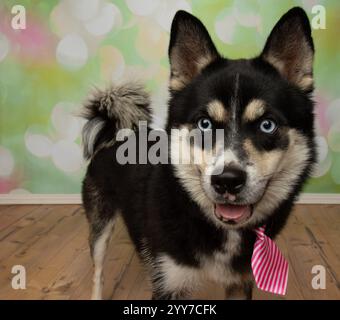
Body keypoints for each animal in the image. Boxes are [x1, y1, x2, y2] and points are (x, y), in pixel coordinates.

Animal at [81, 7, 316, 300]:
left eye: (267, 125)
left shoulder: (240, 281)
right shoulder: (170, 282)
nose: (227, 181)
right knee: (98, 272)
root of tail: (116, 135)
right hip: (100, 225)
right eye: (205, 124)